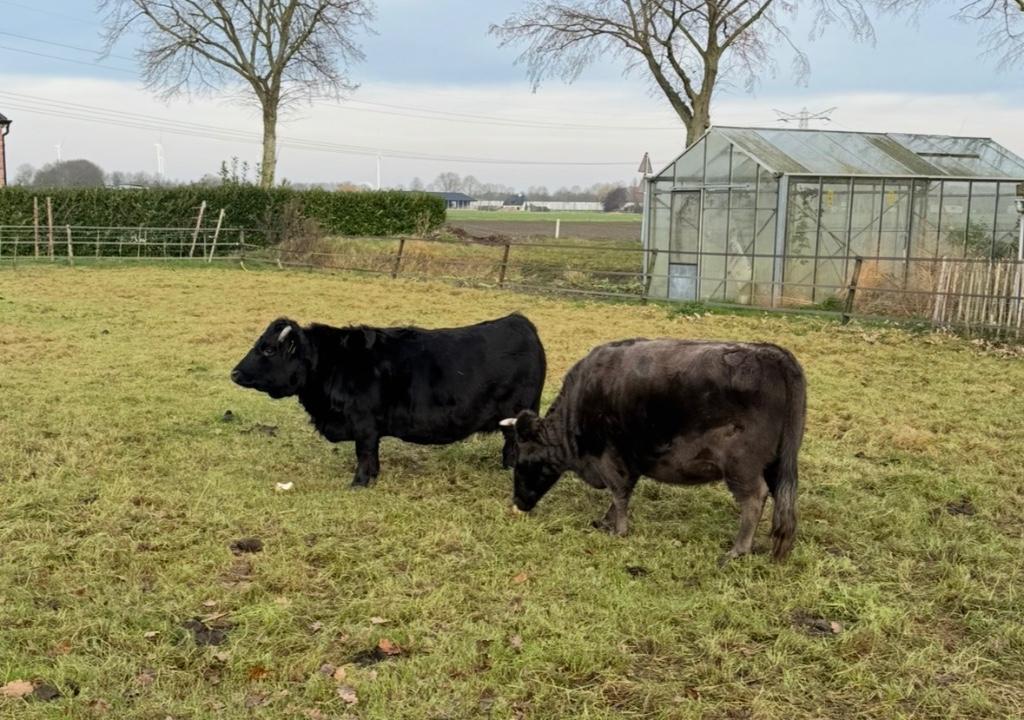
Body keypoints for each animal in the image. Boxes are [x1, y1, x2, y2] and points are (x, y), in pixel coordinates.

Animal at [231, 313, 546, 487]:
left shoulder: (364, 424)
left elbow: (365, 454)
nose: (234, 373)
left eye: (268, 349)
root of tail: (519, 321)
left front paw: (360, 483)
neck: (335, 364)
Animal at [500, 338, 806, 562]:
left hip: (741, 465)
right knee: (780, 497)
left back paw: (738, 549)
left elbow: (619, 493)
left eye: (521, 460)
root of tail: (770, 352)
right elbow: (618, 497)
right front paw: (606, 521)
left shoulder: (611, 458)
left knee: (754, 498)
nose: (518, 502)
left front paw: (618, 530)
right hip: (777, 463)